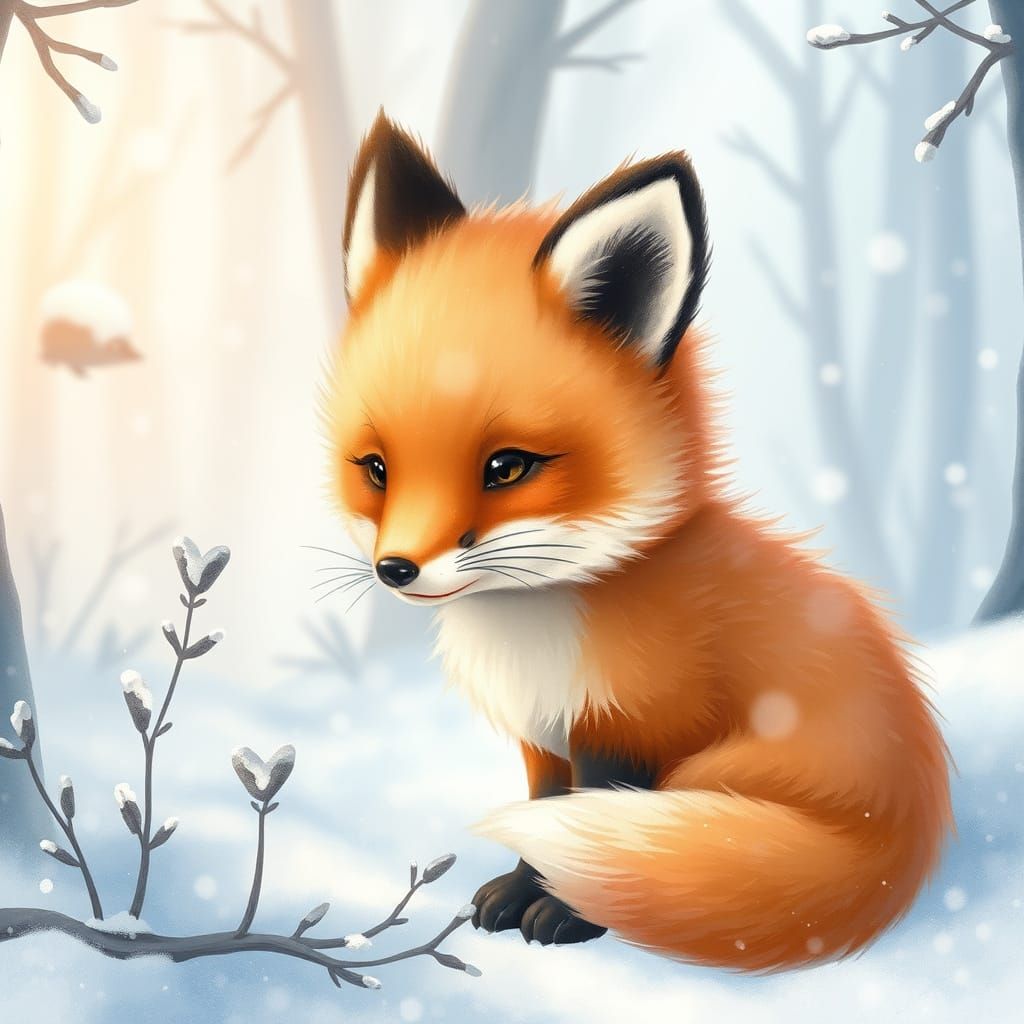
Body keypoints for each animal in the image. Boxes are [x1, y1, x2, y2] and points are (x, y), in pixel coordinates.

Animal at [322, 111, 952, 971]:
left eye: (507, 467)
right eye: (377, 469)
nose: (396, 569)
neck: (542, 619)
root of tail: (905, 842)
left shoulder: (633, 730)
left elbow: (583, 821)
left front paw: (565, 914)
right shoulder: (546, 739)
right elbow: (547, 815)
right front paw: (520, 893)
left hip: (716, 772)